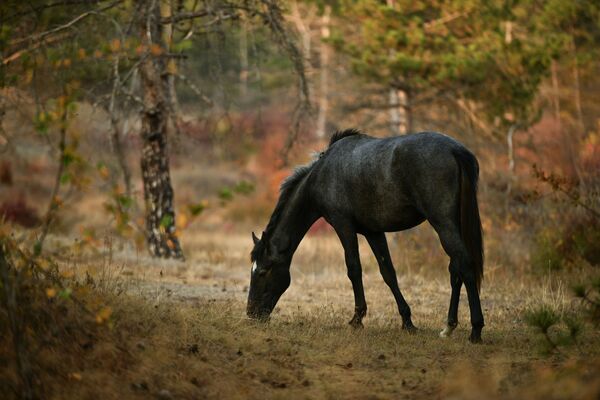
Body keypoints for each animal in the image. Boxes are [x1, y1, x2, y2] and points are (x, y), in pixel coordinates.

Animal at [246, 130, 486, 342]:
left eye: (263, 271)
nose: (251, 313)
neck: (322, 174)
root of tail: (456, 150)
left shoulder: (343, 225)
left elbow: (354, 269)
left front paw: (357, 319)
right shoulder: (374, 232)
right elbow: (388, 273)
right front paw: (407, 322)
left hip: (442, 223)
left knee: (465, 264)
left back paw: (475, 330)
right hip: (453, 224)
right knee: (455, 269)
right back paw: (449, 327)